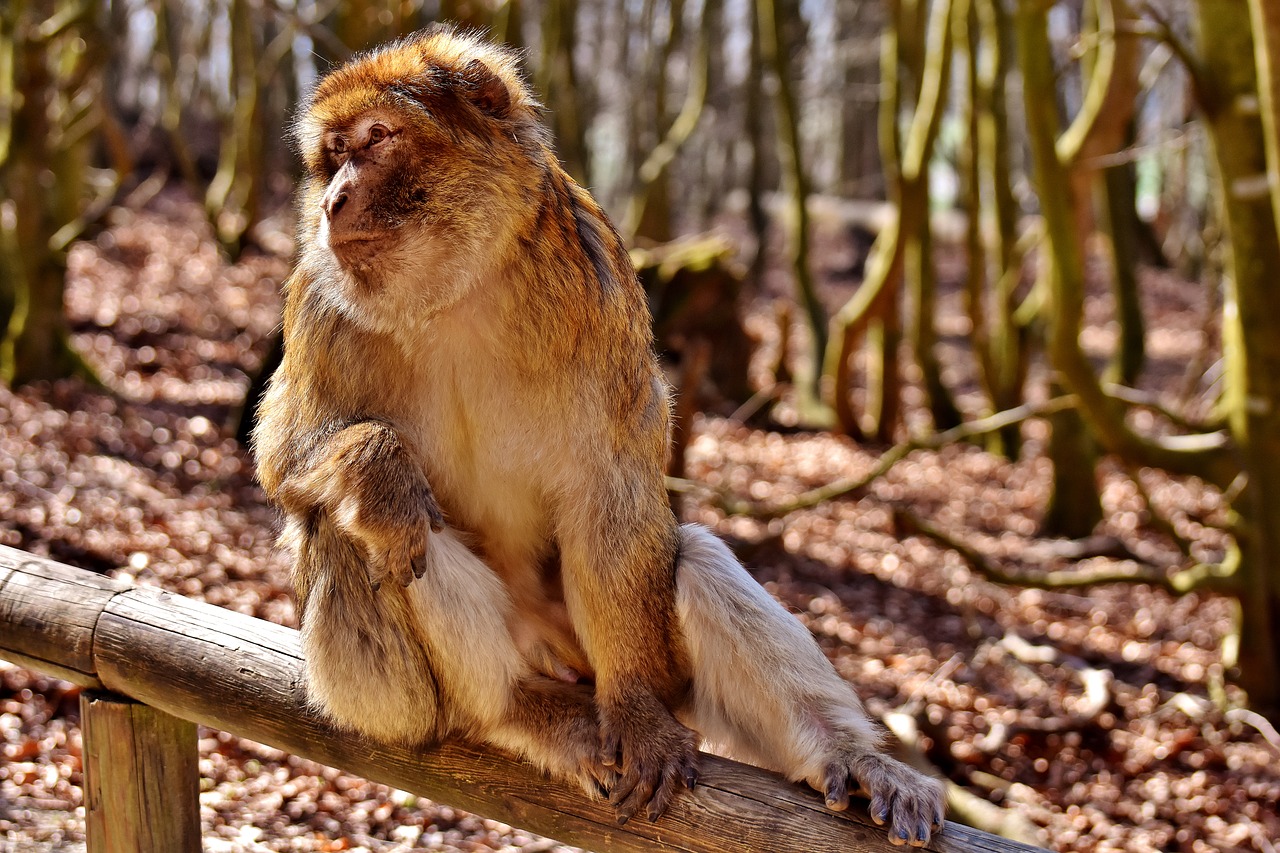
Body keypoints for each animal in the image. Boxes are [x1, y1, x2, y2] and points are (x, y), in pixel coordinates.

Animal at [252, 26, 952, 845]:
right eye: (332, 154)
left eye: (376, 139)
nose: (332, 200)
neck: (454, 290)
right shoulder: (318, 298)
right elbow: (284, 453)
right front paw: (379, 466)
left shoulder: (598, 287)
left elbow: (609, 487)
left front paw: (639, 716)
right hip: (417, 694)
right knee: (355, 526)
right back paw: (512, 704)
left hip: (636, 652)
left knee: (693, 554)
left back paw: (847, 755)